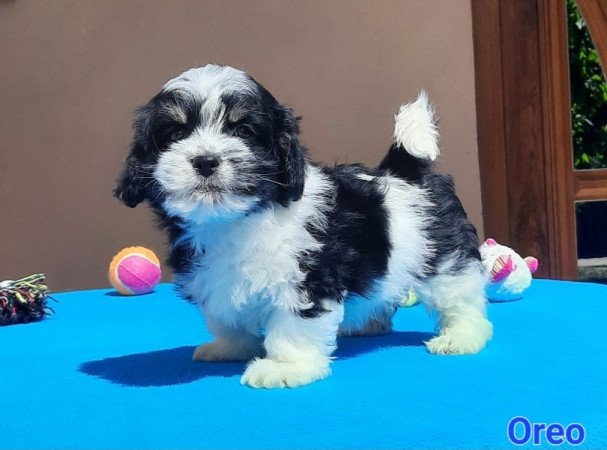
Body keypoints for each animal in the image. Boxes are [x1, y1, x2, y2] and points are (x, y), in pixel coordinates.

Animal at [115, 65, 494, 388]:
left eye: (243, 131)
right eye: (175, 132)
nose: (206, 160)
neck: (236, 219)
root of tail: (405, 173)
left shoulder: (307, 276)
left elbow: (294, 325)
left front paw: (285, 367)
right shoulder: (211, 278)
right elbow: (226, 317)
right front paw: (230, 347)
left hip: (444, 255)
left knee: (460, 297)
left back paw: (462, 336)